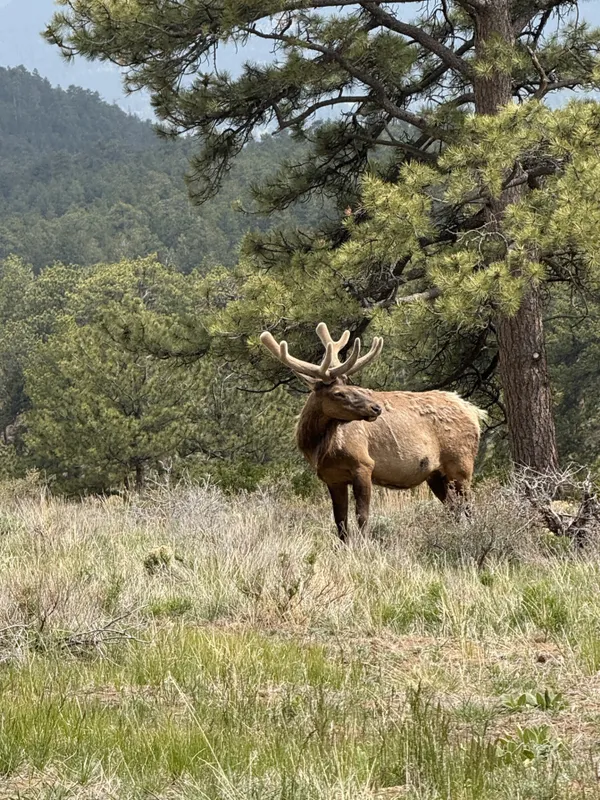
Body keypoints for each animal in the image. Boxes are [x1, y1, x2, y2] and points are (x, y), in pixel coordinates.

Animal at [260, 323, 487, 541]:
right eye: (338, 393)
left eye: (351, 385)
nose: (376, 408)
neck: (319, 449)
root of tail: (474, 412)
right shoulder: (332, 477)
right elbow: (340, 521)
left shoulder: (364, 464)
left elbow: (362, 515)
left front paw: (365, 546)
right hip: (435, 474)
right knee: (454, 510)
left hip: (461, 465)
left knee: (469, 509)